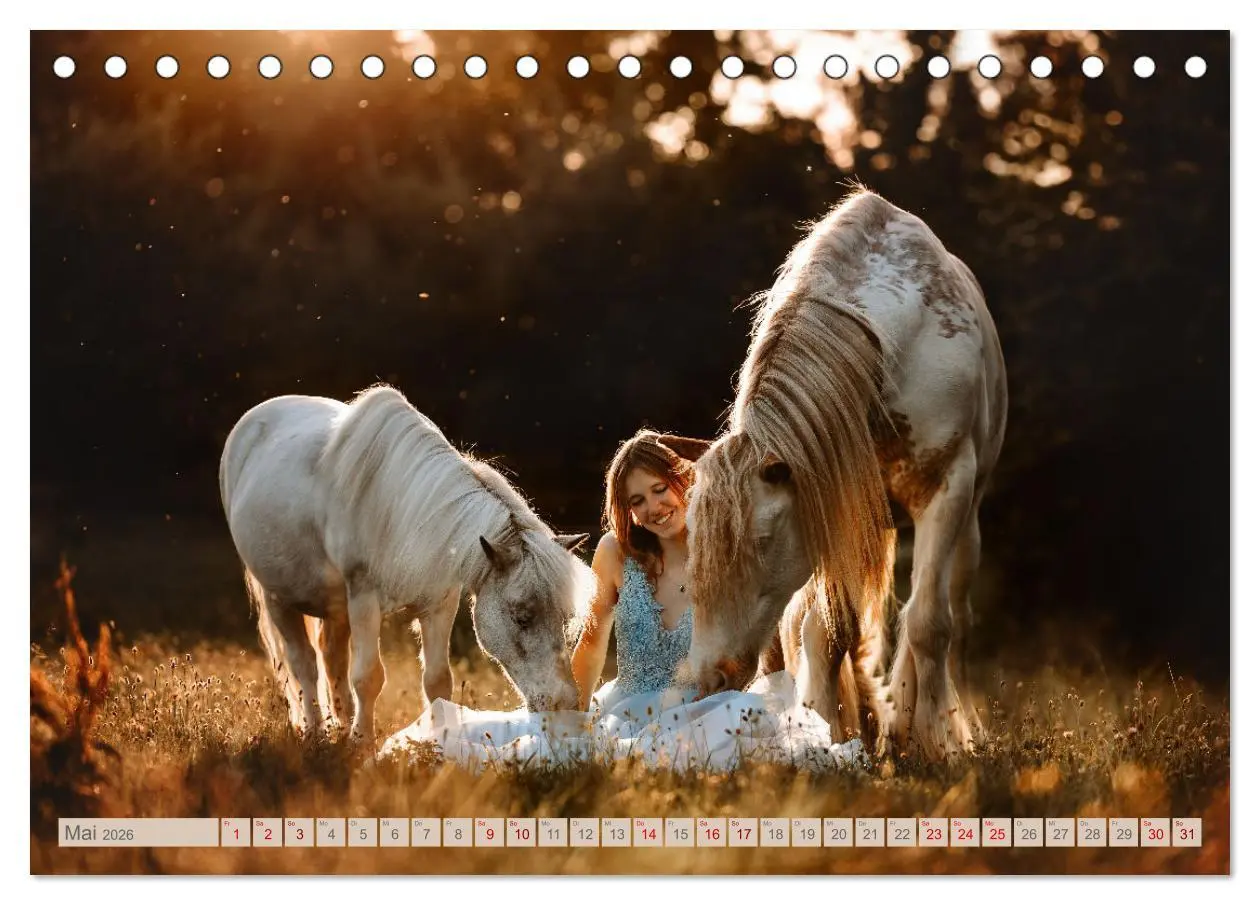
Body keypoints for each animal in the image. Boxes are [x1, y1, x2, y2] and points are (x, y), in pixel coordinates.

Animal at [219, 384, 590, 745]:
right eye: (521, 617)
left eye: (565, 618)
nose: (565, 706)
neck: (402, 514)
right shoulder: (364, 600)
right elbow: (368, 677)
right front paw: (362, 744)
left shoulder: (439, 604)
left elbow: (438, 681)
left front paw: (440, 742)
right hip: (278, 598)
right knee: (304, 665)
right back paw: (316, 734)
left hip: (336, 607)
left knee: (331, 658)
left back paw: (339, 727)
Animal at [684, 188, 1007, 758]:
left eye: (762, 541)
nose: (708, 679)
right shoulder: (834, 504)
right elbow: (829, 632)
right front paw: (830, 732)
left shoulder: (947, 489)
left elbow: (929, 625)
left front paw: (933, 740)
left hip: (966, 528)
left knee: (953, 616)